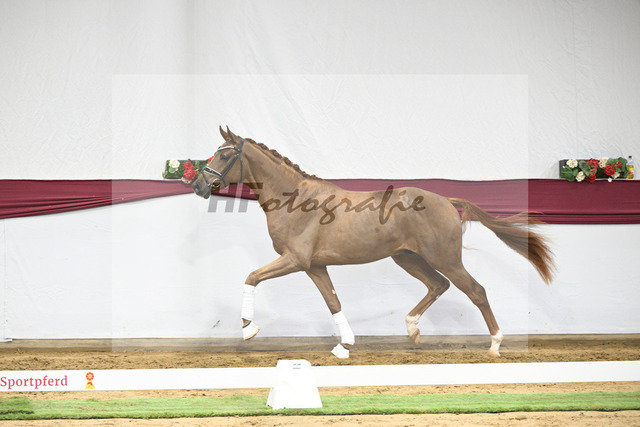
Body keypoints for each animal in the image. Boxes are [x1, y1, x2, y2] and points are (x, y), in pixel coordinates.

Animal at [191, 127, 555, 359]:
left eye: (225, 155)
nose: (197, 185)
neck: (294, 201)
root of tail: (447, 201)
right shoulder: (315, 265)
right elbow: (333, 302)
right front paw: (344, 345)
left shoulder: (295, 260)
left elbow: (251, 277)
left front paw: (248, 329)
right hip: (408, 258)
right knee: (438, 286)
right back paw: (412, 330)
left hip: (444, 258)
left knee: (475, 291)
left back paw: (494, 344)